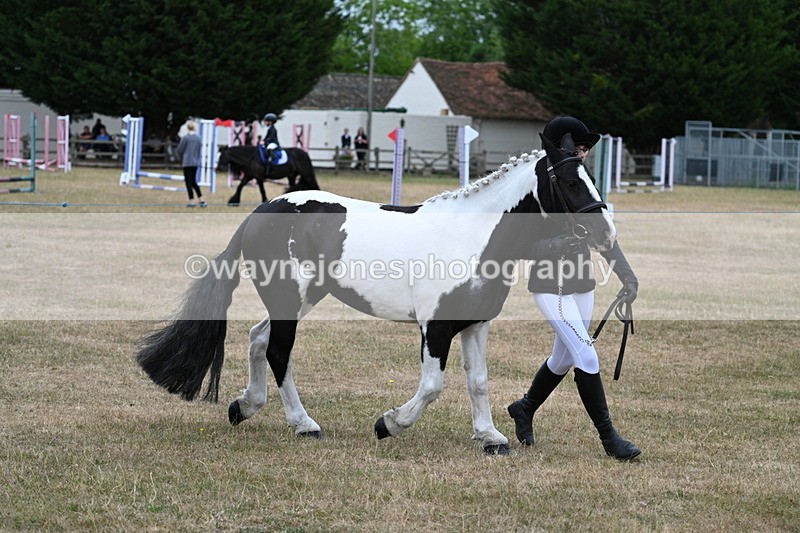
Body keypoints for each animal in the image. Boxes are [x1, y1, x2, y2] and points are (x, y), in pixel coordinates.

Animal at [136, 133, 616, 455]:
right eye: (570, 181)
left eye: (592, 176)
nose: (607, 233)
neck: (474, 235)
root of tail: (261, 212)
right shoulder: (435, 327)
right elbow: (432, 385)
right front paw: (389, 424)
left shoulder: (475, 325)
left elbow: (478, 382)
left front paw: (491, 437)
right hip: (289, 299)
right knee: (277, 352)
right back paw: (304, 424)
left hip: (299, 299)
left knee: (258, 339)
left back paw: (245, 406)